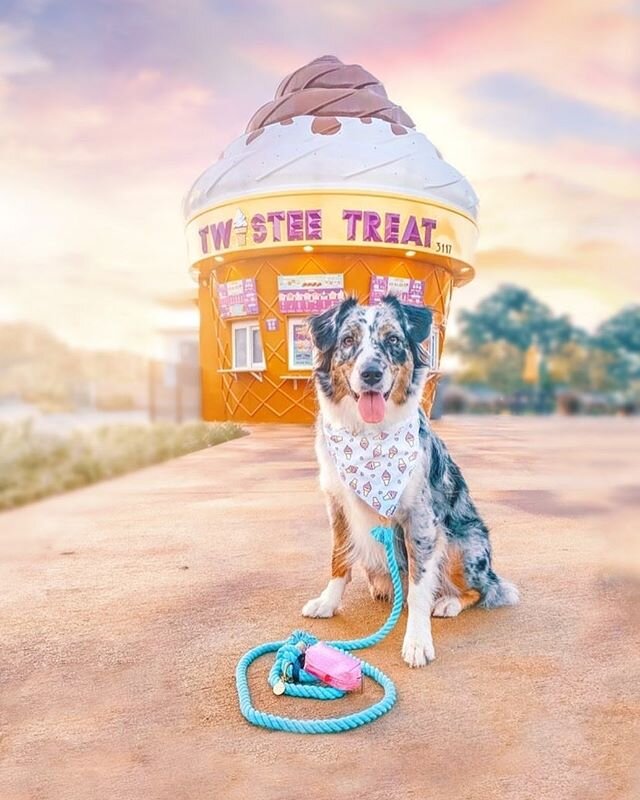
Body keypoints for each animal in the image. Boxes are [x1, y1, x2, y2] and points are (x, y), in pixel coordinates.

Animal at [302, 296, 516, 664]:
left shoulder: (420, 519)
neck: (369, 435)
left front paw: (417, 641)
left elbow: (418, 588)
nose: (371, 373)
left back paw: (449, 601)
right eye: (348, 340)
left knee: (483, 589)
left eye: (393, 340)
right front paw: (328, 602)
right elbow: (339, 558)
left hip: (462, 544)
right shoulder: (338, 505)